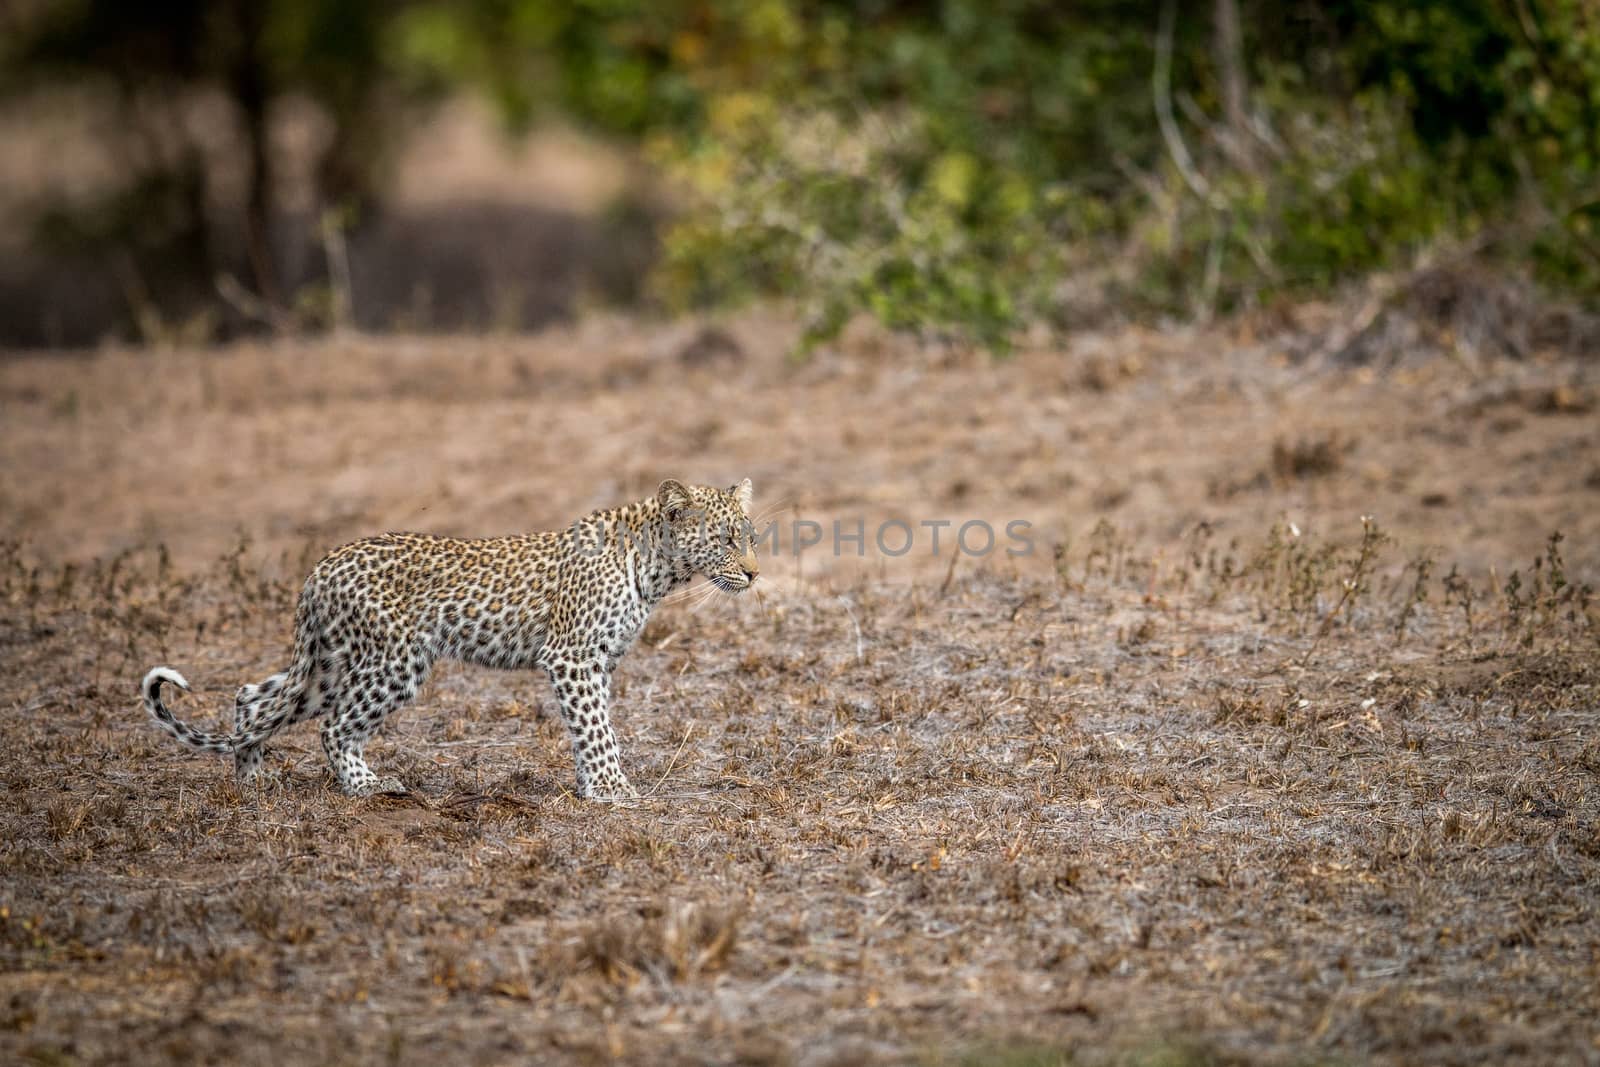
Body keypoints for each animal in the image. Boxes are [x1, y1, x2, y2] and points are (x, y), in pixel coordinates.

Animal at [140, 479, 758, 796]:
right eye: (726, 540)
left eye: (750, 536)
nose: (754, 573)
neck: (658, 568)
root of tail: (320, 567)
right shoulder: (572, 657)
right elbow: (598, 731)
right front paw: (614, 791)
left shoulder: (596, 663)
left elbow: (589, 728)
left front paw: (591, 787)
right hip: (393, 662)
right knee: (334, 726)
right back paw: (369, 786)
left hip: (332, 662)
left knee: (253, 697)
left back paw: (251, 784)